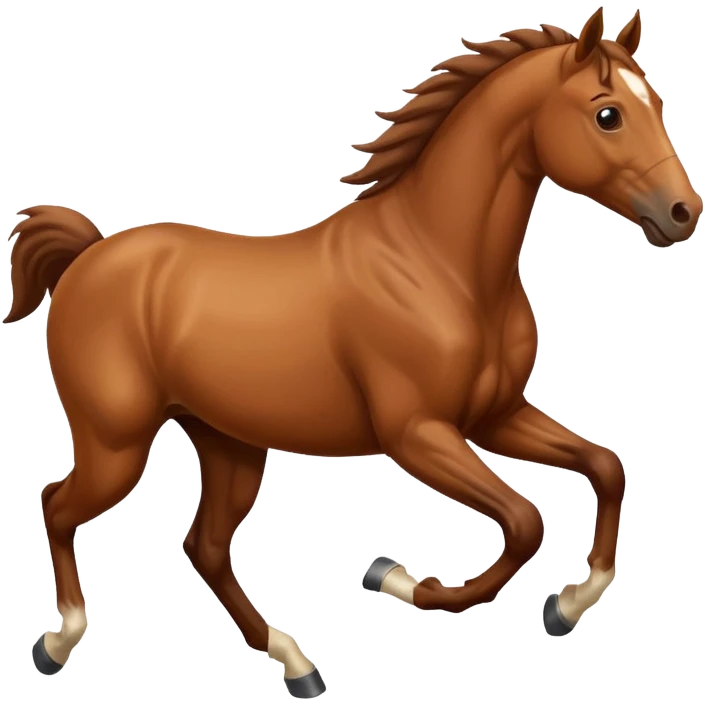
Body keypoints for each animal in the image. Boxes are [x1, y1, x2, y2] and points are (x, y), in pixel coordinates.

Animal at [5, 6, 701, 697]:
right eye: (608, 114)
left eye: (658, 103)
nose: (682, 212)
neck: (438, 262)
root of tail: (88, 255)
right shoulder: (417, 433)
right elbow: (526, 521)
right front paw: (393, 575)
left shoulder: (496, 416)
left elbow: (606, 468)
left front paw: (568, 604)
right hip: (116, 445)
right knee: (58, 506)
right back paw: (57, 643)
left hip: (229, 443)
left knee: (203, 545)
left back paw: (295, 662)